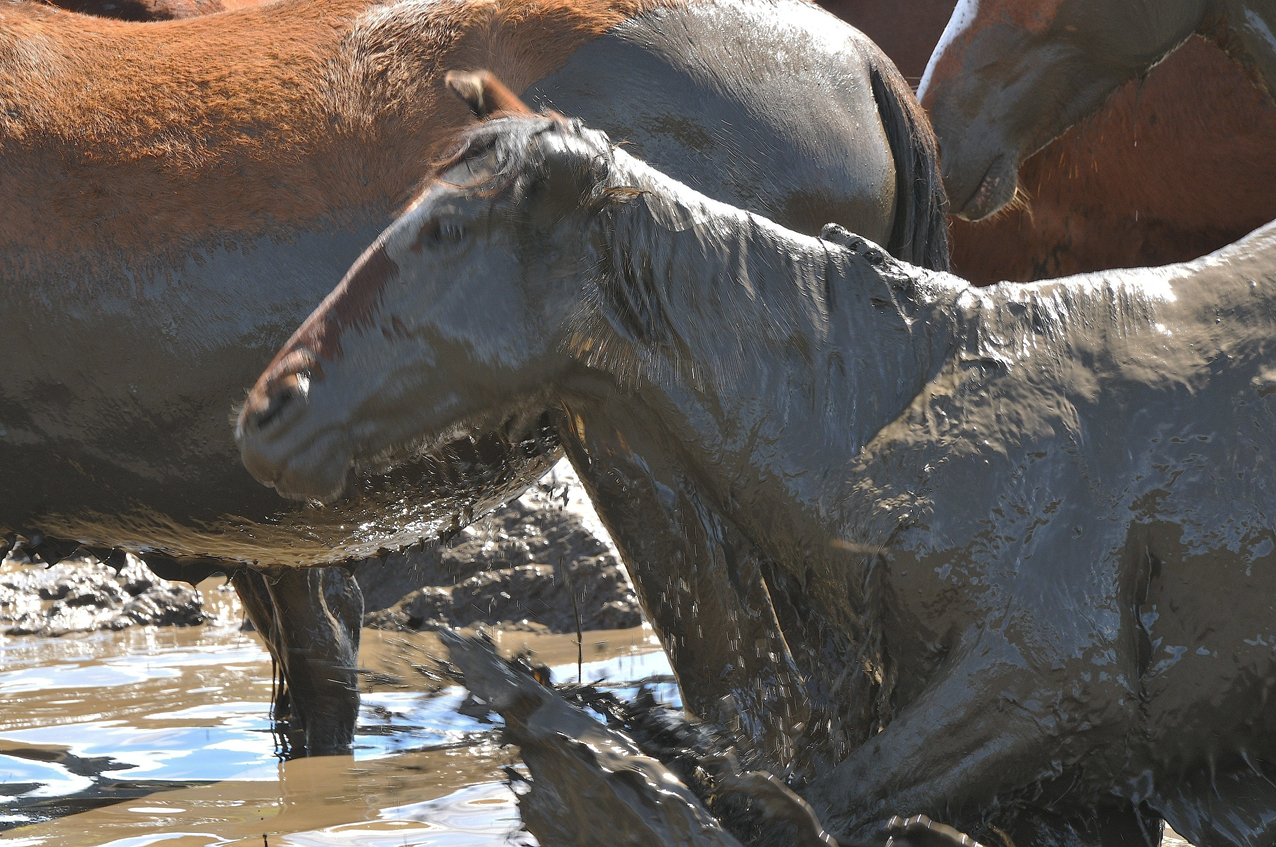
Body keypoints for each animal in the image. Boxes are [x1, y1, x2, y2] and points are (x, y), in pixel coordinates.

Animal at [239, 113, 1276, 847]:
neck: (895, 422)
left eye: (447, 228)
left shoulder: (1045, 687)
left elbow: (819, 802)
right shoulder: (1089, 784)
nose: (267, 410)